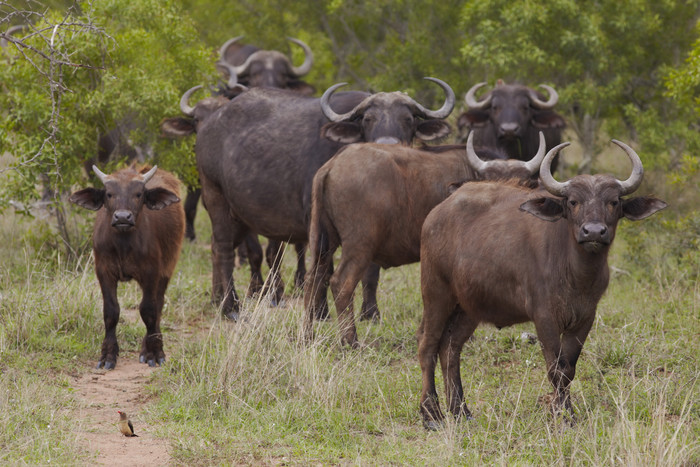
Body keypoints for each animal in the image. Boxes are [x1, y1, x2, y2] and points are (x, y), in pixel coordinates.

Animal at [69, 165, 185, 370]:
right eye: (109, 194)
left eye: (138, 194)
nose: (122, 217)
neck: (123, 245)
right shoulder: (104, 272)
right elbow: (111, 312)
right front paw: (108, 355)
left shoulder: (152, 273)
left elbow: (148, 311)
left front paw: (154, 353)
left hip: (167, 270)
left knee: (158, 305)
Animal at [198, 79, 454, 322]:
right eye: (368, 119)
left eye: (408, 118)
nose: (387, 144)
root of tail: (209, 124)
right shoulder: (317, 221)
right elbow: (324, 269)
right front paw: (320, 312)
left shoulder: (374, 223)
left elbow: (371, 273)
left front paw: (370, 313)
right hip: (215, 196)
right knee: (224, 250)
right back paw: (231, 308)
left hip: (241, 216)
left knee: (218, 247)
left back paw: (217, 298)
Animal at [304, 132, 548, 348]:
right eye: (488, 182)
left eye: (522, 183)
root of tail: (333, 165)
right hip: (359, 246)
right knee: (341, 283)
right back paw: (350, 340)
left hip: (322, 242)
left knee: (313, 279)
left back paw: (308, 335)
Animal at [416, 140, 668, 432]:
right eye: (573, 202)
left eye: (613, 202)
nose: (593, 232)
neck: (576, 274)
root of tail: (436, 214)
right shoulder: (544, 317)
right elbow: (556, 368)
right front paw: (563, 415)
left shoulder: (585, 318)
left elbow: (569, 368)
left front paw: (566, 412)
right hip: (435, 292)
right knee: (427, 345)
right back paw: (431, 414)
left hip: (468, 308)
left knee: (450, 348)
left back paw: (460, 411)